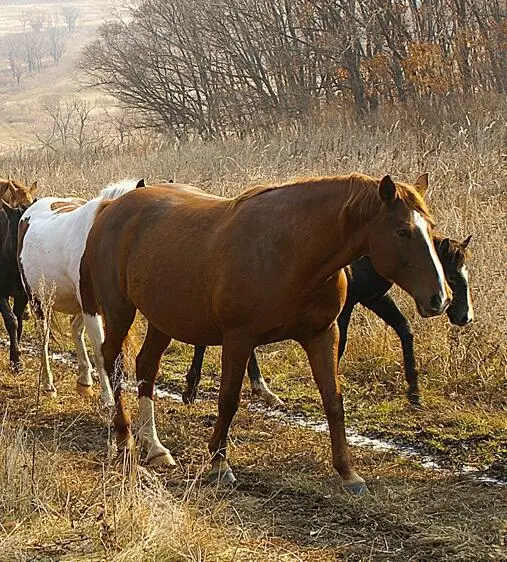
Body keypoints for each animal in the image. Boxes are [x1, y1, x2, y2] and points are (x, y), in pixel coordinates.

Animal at [17, 178, 145, 402]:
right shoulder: (92, 306)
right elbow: (101, 351)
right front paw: (108, 398)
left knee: (75, 329)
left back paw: (84, 380)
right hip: (38, 301)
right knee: (44, 337)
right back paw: (48, 385)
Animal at [78, 173, 448, 492]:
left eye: (430, 228)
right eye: (402, 231)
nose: (440, 298)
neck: (292, 250)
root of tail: (112, 208)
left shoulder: (322, 334)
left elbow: (333, 400)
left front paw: (348, 472)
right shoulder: (238, 338)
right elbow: (228, 400)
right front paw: (219, 464)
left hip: (163, 318)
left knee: (146, 367)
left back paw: (155, 447)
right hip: (119, 310)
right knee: (113, 361)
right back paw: (125, 438)